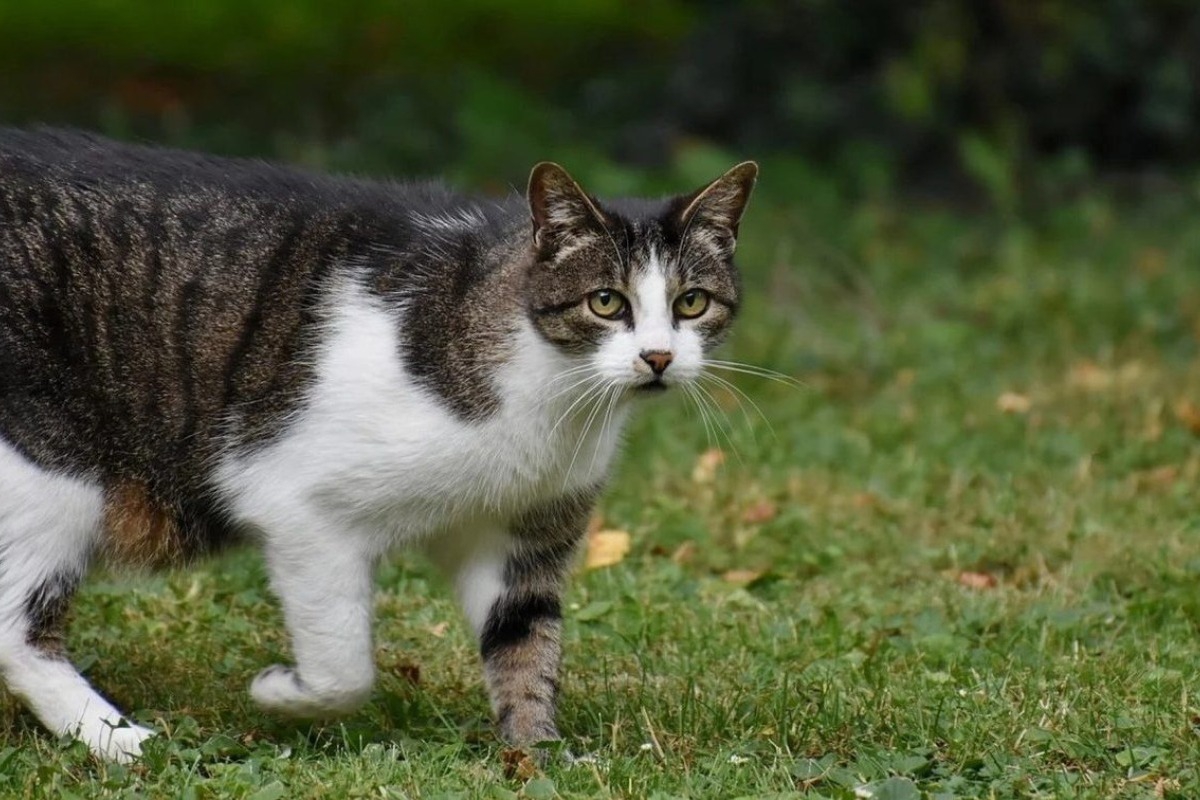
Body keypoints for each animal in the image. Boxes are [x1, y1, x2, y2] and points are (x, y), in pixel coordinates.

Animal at [0, 126, 753, 762]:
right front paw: (280, 693)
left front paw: (537, 756)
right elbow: (344, 668)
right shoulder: (299, 507)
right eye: (605, 302)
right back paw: (118, 740)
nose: (658, 357)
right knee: (16, 629)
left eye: (691, 303)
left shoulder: (521, 537)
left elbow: (526, 647)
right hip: (50, 468)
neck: (549, 400)